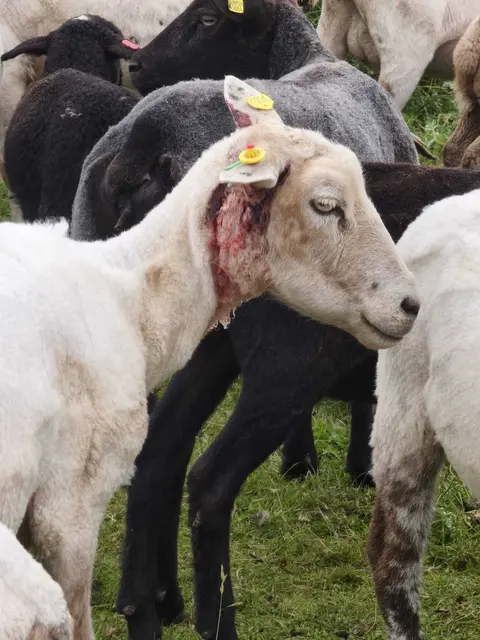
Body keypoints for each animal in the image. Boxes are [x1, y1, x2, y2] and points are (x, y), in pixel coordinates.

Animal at [116, 162, 480, 640]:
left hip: (213, 347)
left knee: (160, 451)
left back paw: (151, 607)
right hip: (288, 367)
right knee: (210, 481)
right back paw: (216, 624)